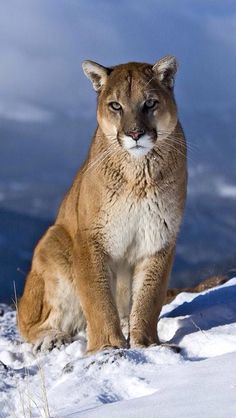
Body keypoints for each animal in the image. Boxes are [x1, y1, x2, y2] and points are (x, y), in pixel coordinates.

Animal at [18, 56, 186, 352]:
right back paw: (51, 338)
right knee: (29, 320)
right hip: (54, 242)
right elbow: (98, 297)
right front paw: (108, 345)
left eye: (150, 103)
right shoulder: (91, 239)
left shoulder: (158, 238)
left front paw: (146, 343)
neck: (138, 174)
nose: (135, 134)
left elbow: (149, 298)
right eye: (116, 105)